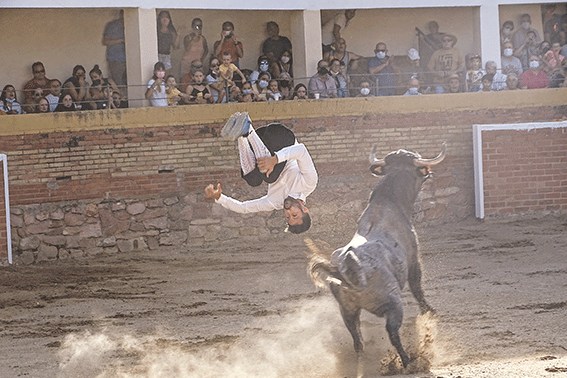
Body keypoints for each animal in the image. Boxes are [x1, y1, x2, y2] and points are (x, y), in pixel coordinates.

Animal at [308, 143, 446, 374]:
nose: (430, 174)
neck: (389, 203)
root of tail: (348, 273)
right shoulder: (414, 260)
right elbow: (417, 289)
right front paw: (430, 313)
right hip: (393, 305)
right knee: (392, 332)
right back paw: (407, 362)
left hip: (347, 312)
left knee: (357, 341)